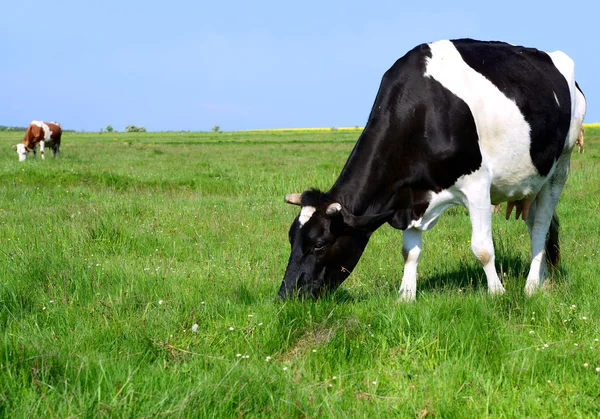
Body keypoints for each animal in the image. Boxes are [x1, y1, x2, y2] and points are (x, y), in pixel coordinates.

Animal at [280, 38, 584, 302]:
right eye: (291, 238)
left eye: (319, 244)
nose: (285, 295)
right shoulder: (407, 196)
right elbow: (409, 252)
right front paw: (405, 297)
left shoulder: (477, 183)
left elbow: (483, 249)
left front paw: (497, 294)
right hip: (531, 182)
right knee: (536, 224)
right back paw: (543, 279)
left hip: (561, 166)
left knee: (541, 225)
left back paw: (531, 286)